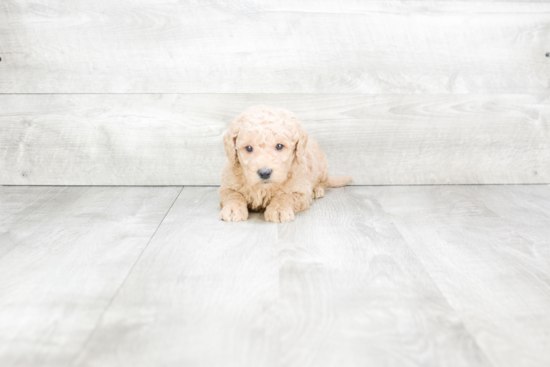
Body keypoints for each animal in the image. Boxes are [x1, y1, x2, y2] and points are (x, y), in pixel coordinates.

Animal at [218, 105, 352, 223]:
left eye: (279, 146)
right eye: (249, 148)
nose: (264, 173)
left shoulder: (300, 190)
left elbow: (285, 196)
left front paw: (279, 209)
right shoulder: (227, 185)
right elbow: (233, 195)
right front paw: (232, 209)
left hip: (321, 167)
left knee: (323, 182)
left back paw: (317, 190)